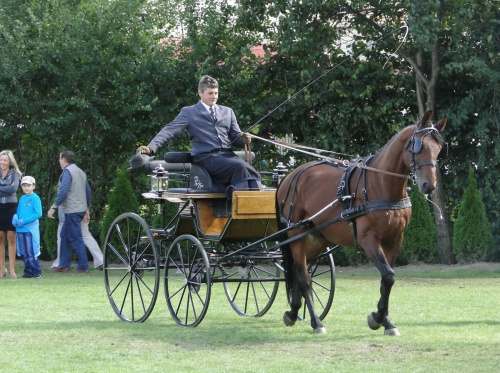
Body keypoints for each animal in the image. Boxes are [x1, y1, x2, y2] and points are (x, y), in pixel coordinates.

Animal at [276, 110, 448, 334]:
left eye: (439, 149)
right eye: (420, 146)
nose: (429, 185)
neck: (381, 185)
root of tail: (290, 176)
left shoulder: (395, 240)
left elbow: (386, 280)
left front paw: (385, 321)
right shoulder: (369, 240)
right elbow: (388, 275)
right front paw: (378, 318)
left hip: (317, 237)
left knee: (299, 270)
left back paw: (293, 312)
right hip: (296, 235)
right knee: (304, 277)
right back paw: (316, 322)